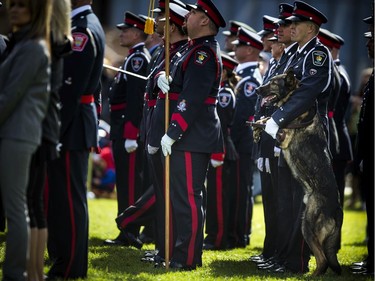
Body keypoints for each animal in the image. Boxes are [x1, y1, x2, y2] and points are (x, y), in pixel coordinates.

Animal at [256, 69, 344, 274]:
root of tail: (337, 209)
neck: (291, 99)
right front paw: (257, 125)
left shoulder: (283, 136)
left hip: (307, 226)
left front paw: (260, 124)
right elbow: (266, 119)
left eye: (273, 83)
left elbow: (271, 122)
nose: (256, 89)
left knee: (323, 260)